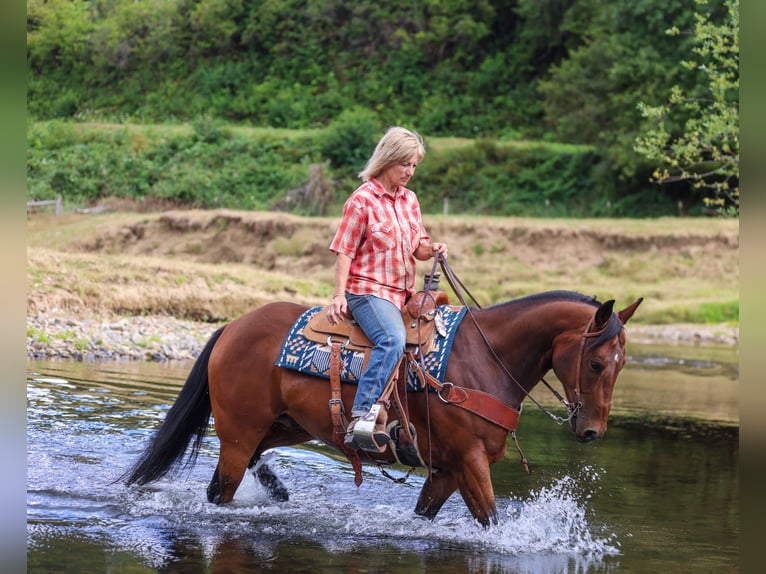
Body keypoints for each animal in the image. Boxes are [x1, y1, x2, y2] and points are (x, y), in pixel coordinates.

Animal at [124, 289, 642, 527]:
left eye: (622, 363)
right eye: (596, 362)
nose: (592, 431)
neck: (485, 361)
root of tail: (232, 326)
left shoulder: (446, 471)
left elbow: (425, 514)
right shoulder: (470, 463)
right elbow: (492, 520)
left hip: (289, 424)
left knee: (255, 457)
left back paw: (278, 490)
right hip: (238, 430)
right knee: (222, 488)